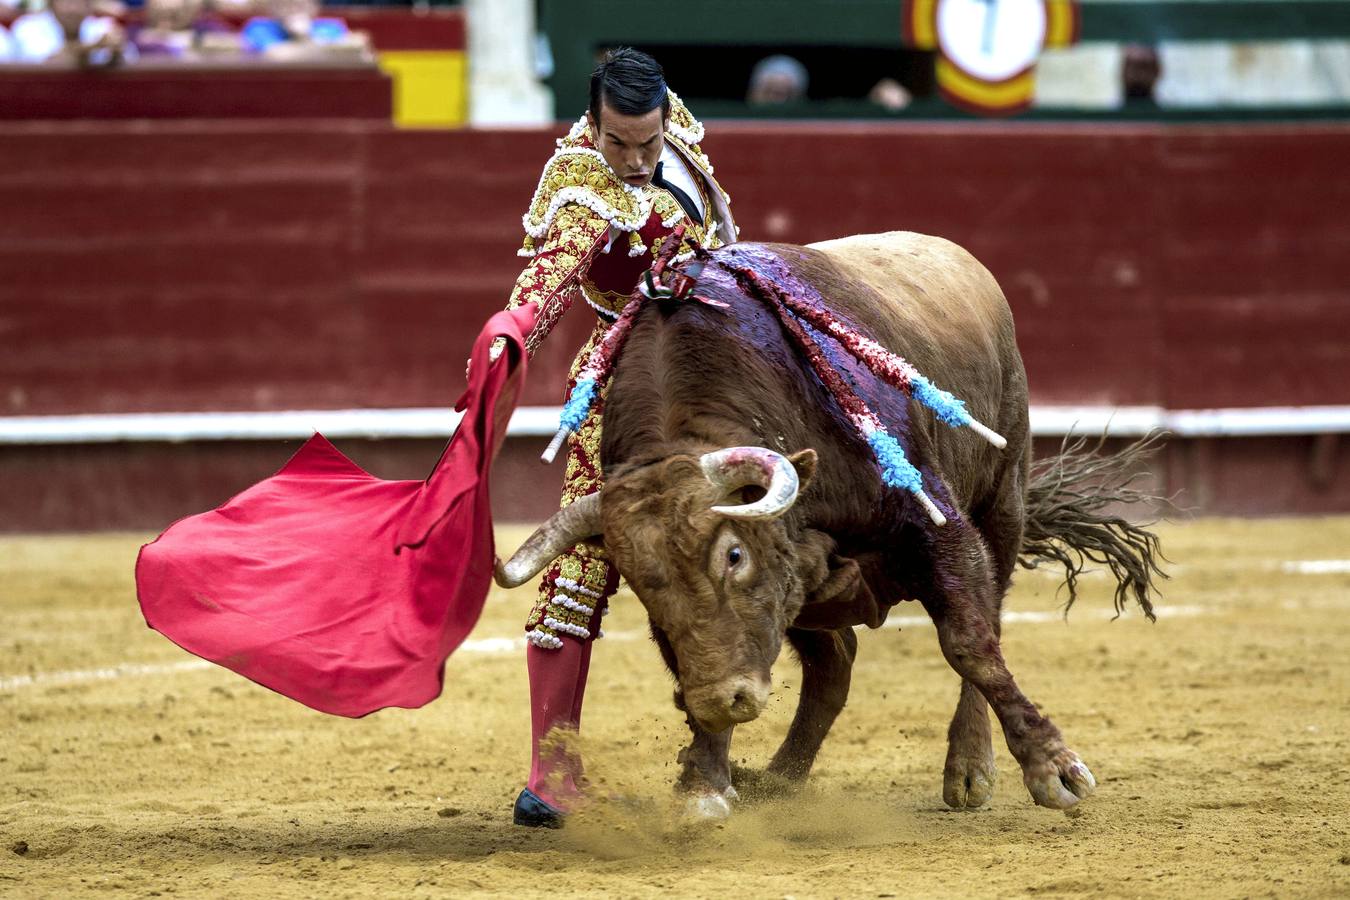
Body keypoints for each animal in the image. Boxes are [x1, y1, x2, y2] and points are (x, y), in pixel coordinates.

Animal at [494, 232, 1161, 814]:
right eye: (642, 583)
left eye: (733, 555)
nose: (726, 700)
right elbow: (697, 665)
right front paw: (705, 783)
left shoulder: (936, 521)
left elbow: (970, 644)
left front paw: (1055, 770)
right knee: (834, 664)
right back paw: (780, 778)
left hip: (1003, 500)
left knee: (986, 618)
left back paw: (970, 771)